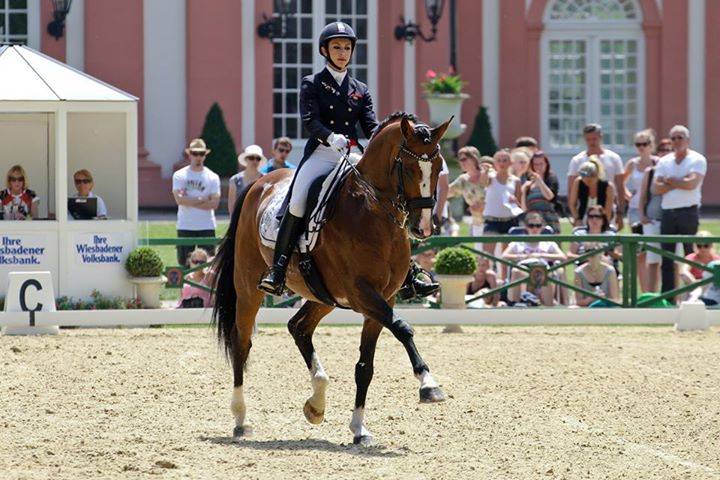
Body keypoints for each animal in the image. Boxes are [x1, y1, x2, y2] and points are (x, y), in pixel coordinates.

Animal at [211, 113, 451, 445]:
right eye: (408, 166)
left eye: (439, 166)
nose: (424, 228)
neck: (372, 213)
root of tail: (260, 183)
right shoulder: (362, 294)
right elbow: (403, 328)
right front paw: (429, 385)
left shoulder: (383, 298)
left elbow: (365, 366)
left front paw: (359, 429)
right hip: (249, 289)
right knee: (241, 343)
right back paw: (240, 419)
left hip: (321, 296)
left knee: (298, 327)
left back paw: (316, 403)